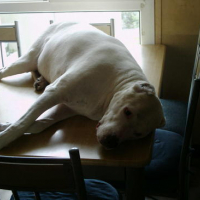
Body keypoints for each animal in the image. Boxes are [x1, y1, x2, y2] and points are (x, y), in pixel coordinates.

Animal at [0, 22, 166, 150]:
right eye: (127, 112)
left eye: (138, 134)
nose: (110, 142)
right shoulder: (54, 92)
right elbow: (22, 123)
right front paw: (5, 137)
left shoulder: (66, 109)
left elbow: (38, 125)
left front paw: (4, 126)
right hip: (28, 60)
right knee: (8, 70)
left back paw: (40, 80)